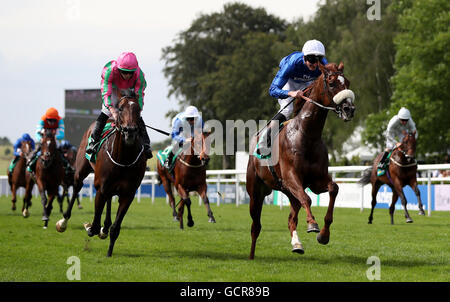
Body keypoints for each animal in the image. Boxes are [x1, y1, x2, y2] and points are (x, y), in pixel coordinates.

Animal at [54, 90, 146, 258]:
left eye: (138, 110)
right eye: (121, 109)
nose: (130, 131)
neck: (123, 159)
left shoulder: (128, 194)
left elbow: (116, 228)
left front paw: (109, 251)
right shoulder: (101, 188)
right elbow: (94, 225)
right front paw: (90, 227)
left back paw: (105, 227)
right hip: (81, 170)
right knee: (76, 188)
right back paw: (63, 222)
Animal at [246, 62, 356, 258]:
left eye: (347, 82)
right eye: (332, 83)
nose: (349, 109)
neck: (307, 135)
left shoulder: (316, 181)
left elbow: (333, 189)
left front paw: (324, 235)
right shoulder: (291, 177)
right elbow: (308, 199)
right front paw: (312, 224)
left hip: (288, 192)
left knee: (291, 219)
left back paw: (297, 244)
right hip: (256, 192)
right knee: (255, 226)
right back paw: (251, 256)